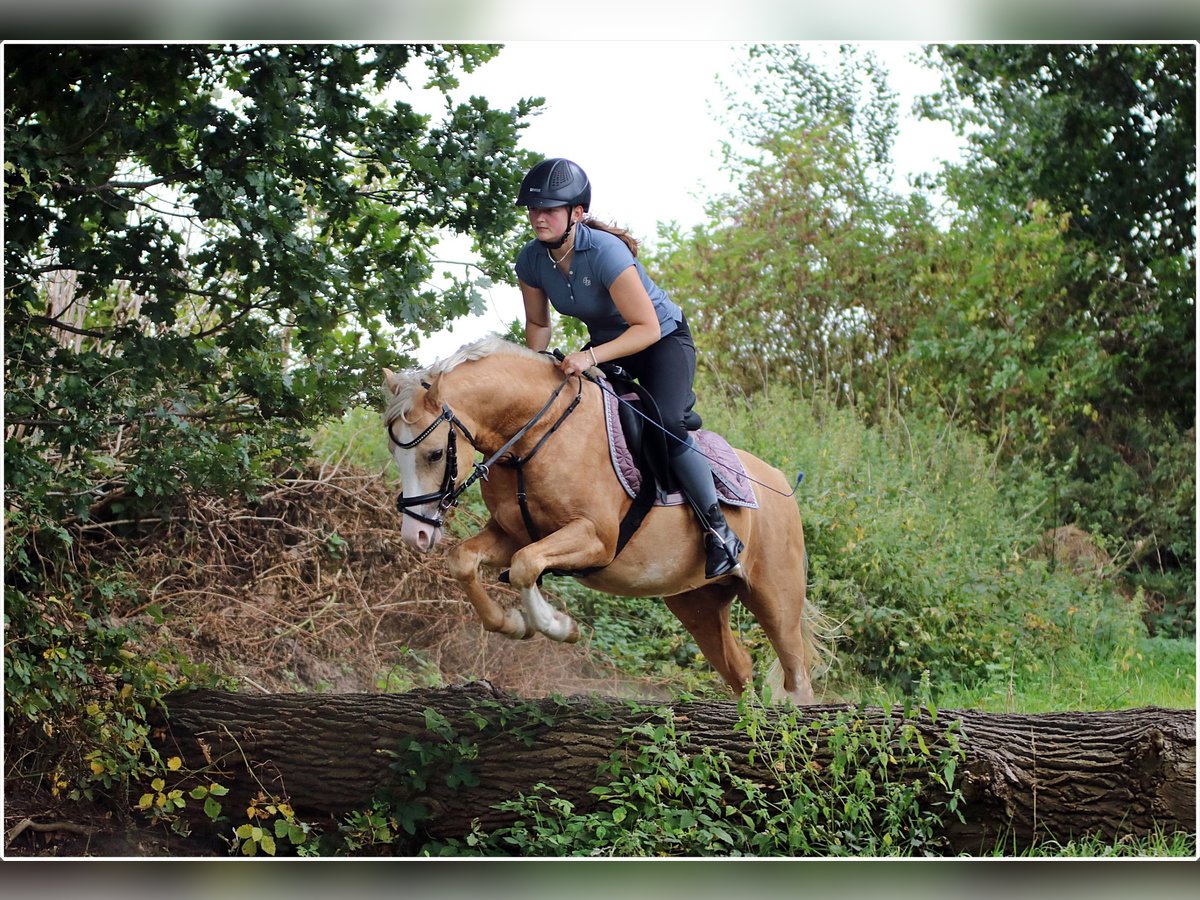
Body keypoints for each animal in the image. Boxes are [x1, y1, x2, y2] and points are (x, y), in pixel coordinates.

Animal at [382, 335, 821, 704]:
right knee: (739, 668)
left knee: (796, 676)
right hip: (697, 601)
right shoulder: (511, 535)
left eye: (435, 454)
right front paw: (512, 624)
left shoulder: (596, 538)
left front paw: (559, 626)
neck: (534, 436)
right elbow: (464, 561)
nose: (415, 534)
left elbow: (525, 567)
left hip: (774, 595)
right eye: (394, 454)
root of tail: (779, 480)